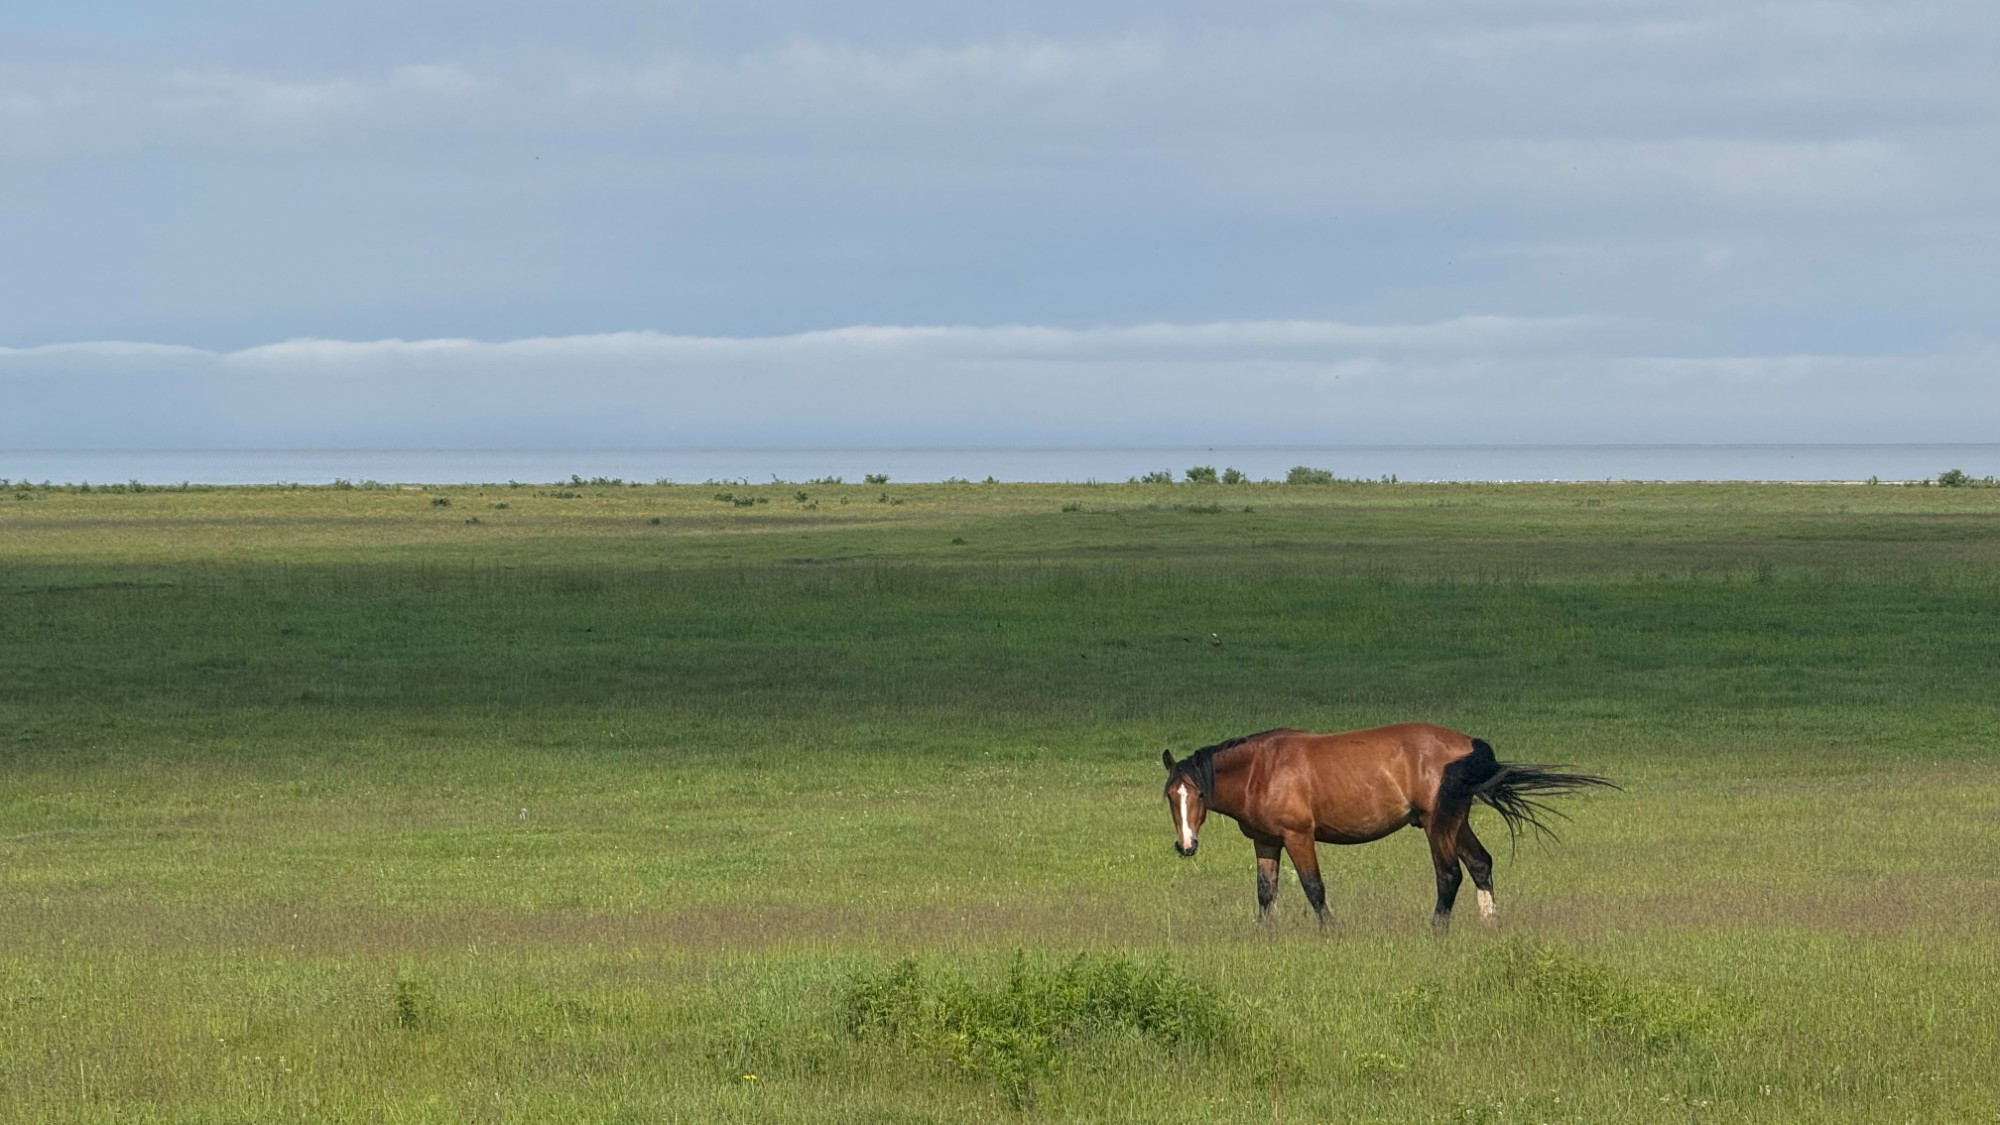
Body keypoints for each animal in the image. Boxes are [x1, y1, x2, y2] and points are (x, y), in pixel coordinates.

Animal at [1168, 716, 1616, 928]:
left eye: (1199, 795)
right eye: (1171, 797)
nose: (1186, 846)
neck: (1264, 768)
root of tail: (1468, 744)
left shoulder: (1298, 836)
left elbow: (1314, 888)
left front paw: (1332, 932)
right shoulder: (1265, 841)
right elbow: (1265, 893)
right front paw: (1266, 935)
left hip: (1438, 823)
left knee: (1449, 875)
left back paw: (1437, 930)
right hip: (1457, 820)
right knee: (1480, 864)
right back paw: (1491, 923)